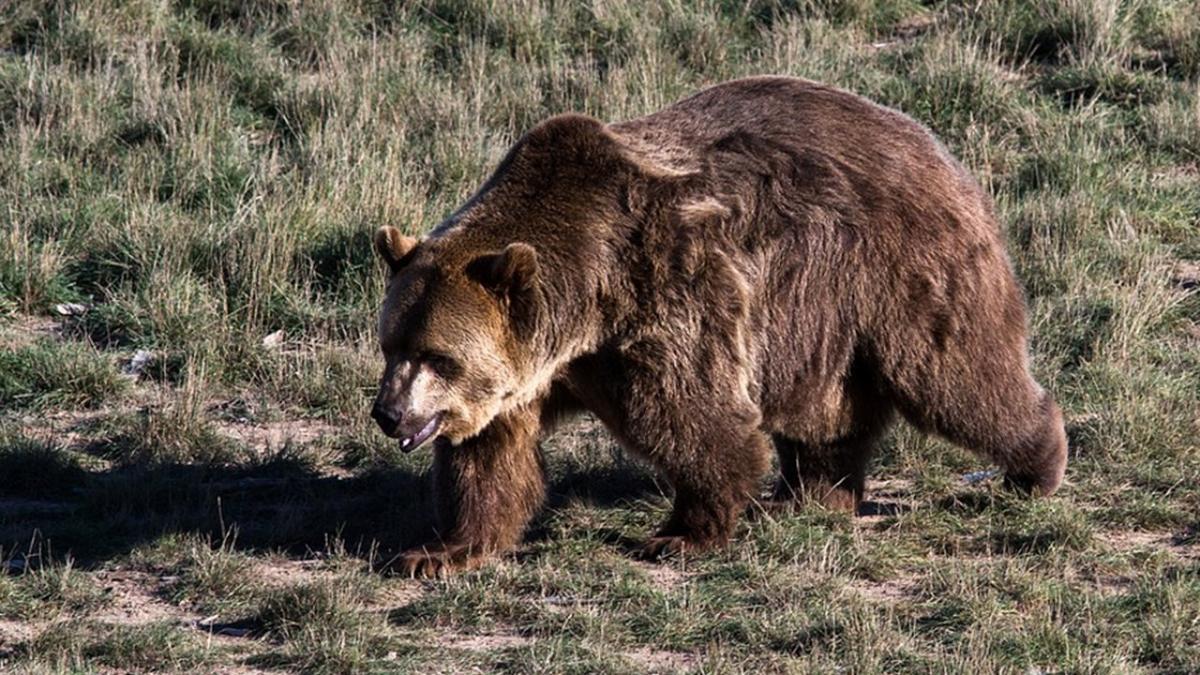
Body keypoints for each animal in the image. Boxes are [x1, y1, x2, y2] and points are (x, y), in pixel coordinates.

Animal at [369, 76, 1065, 576]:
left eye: (439, 357)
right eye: (391, 346)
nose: (389, 413)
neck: (584, 306)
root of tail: (934, 144)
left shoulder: (664, 297)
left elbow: (696, 419)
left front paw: (681, 534)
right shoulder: (526, 377)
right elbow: (488, 460)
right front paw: (439, 552)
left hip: (898, 273)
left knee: (956, 378)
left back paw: (1034, 465)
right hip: (820, 319)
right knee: (826, 413)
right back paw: (810, 494)